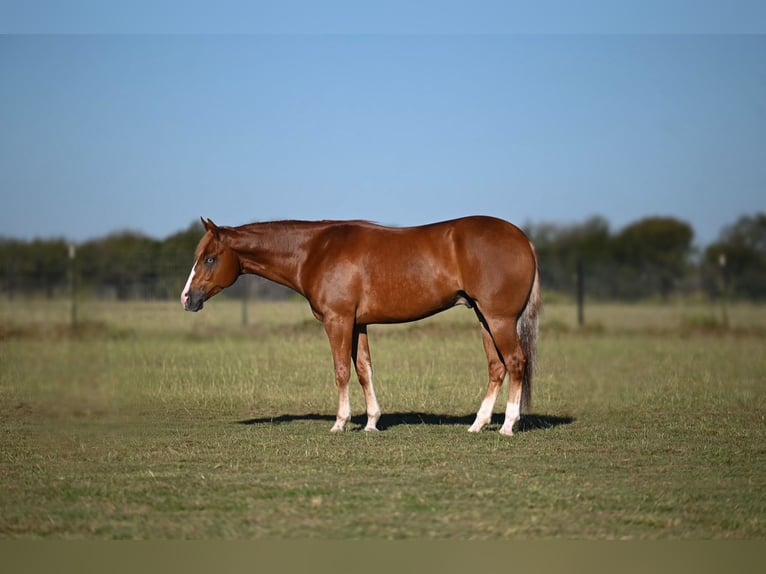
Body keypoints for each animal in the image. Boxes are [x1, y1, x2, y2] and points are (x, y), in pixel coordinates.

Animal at [181, 216, 541, 436]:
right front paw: (371, 422)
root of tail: (523, 239)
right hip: (484, 319)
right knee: (497, 367)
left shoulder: (338, 320)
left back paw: (508, 425)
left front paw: (340, 423)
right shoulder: (358, 324)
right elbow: (364, 369)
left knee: (516, 362)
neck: (315, 251)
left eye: (210, 258)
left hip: (499, 319)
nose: (187, 298)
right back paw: (478, 424)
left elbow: (341, 370)